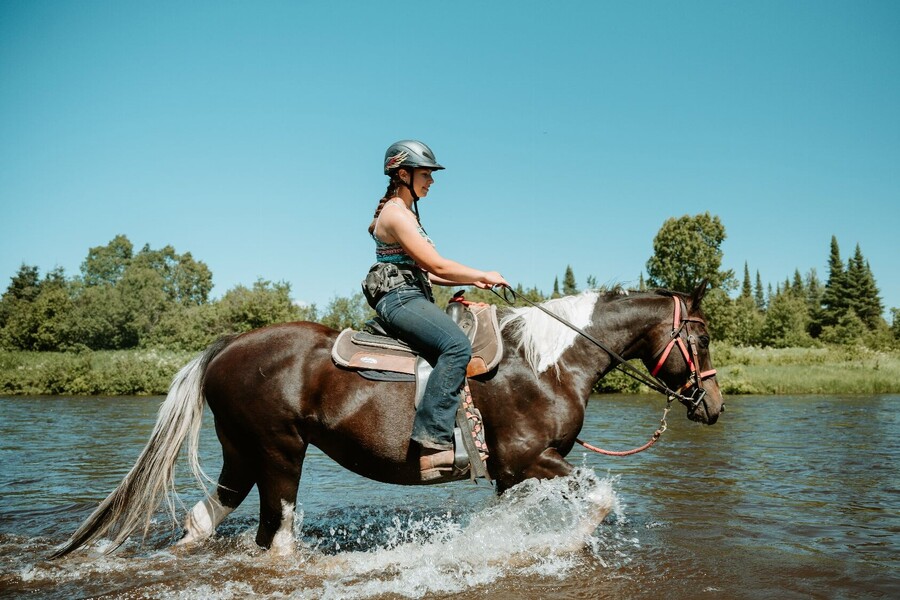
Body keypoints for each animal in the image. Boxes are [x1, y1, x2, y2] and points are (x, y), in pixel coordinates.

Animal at [51, 282, 724, 556]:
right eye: (702, 337)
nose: (714, 405)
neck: (547, 363)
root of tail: (226, 346)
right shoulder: (530, 459)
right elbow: (600, 498)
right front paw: (572, 540)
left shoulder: (511, 475)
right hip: (279, 452)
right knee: (277, 537)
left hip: (242, 453)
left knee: (205, 519)